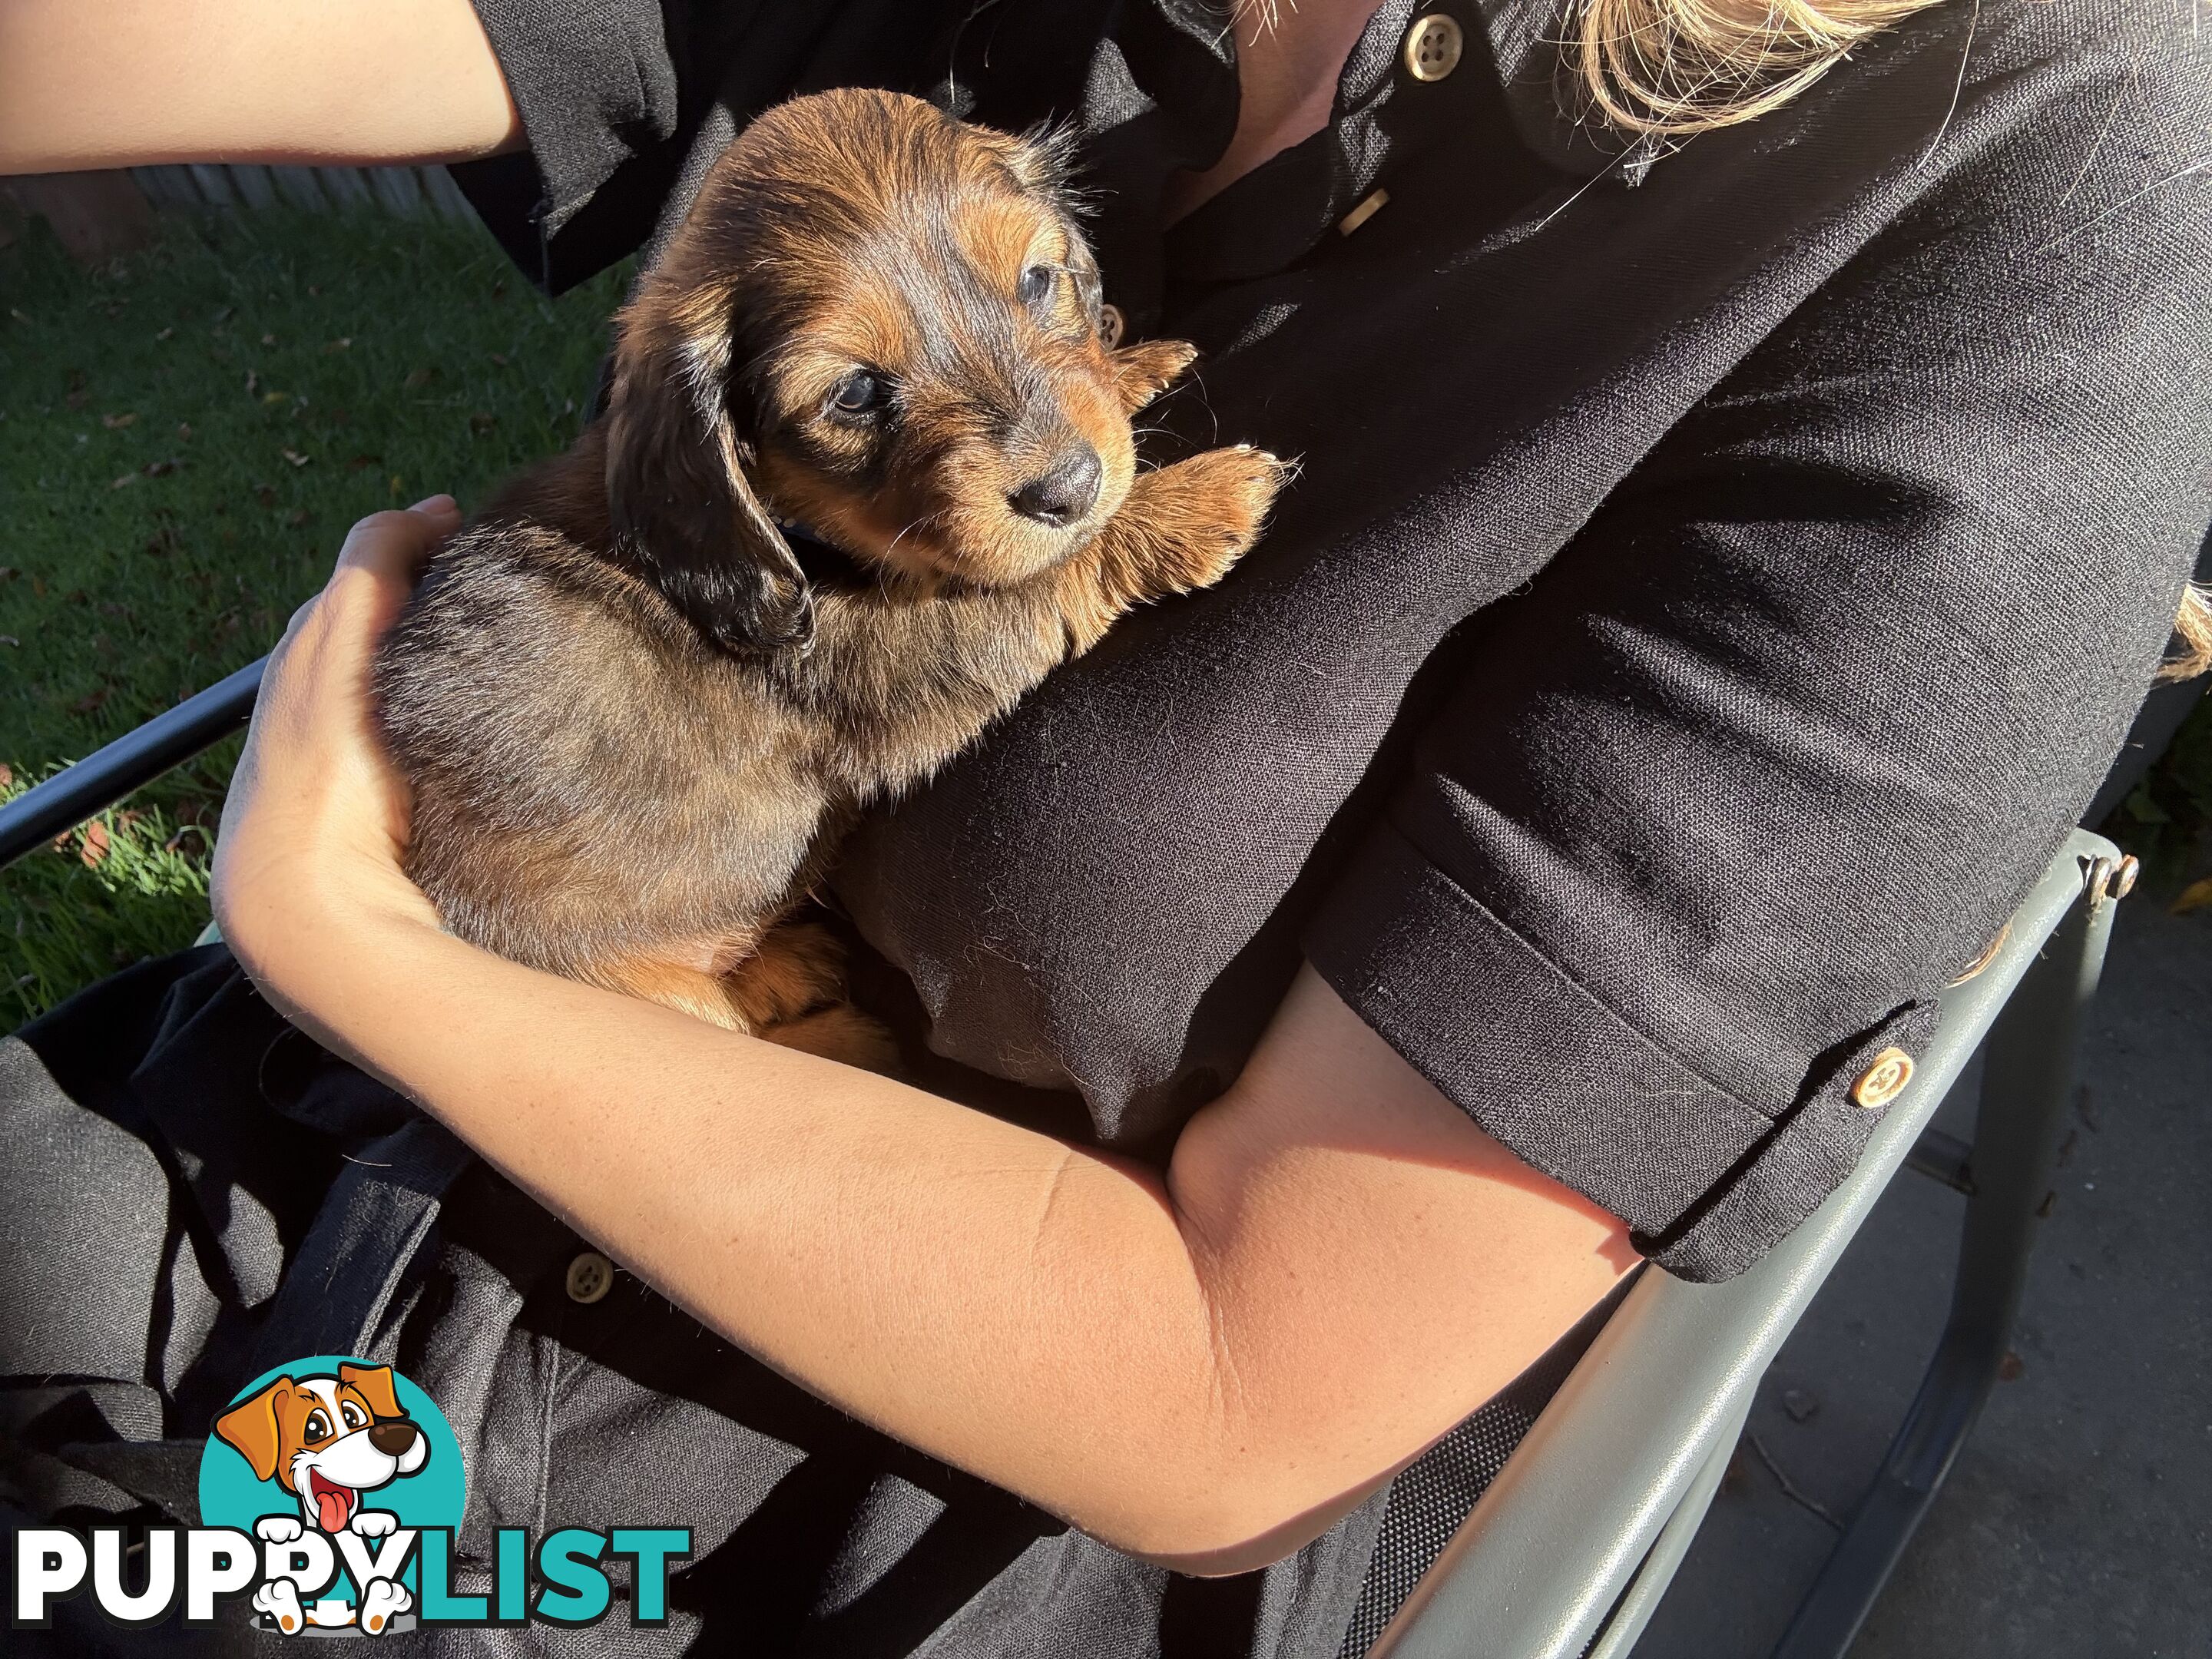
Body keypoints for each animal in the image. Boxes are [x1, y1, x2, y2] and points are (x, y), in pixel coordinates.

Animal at [373, 88, 1291, 1052]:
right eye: (853, 394)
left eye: (1038, 280)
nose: (1070, 488)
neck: (795, 534)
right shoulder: (885, 660)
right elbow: (1029, 582)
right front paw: (1191, 502)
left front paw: (1130, 366)